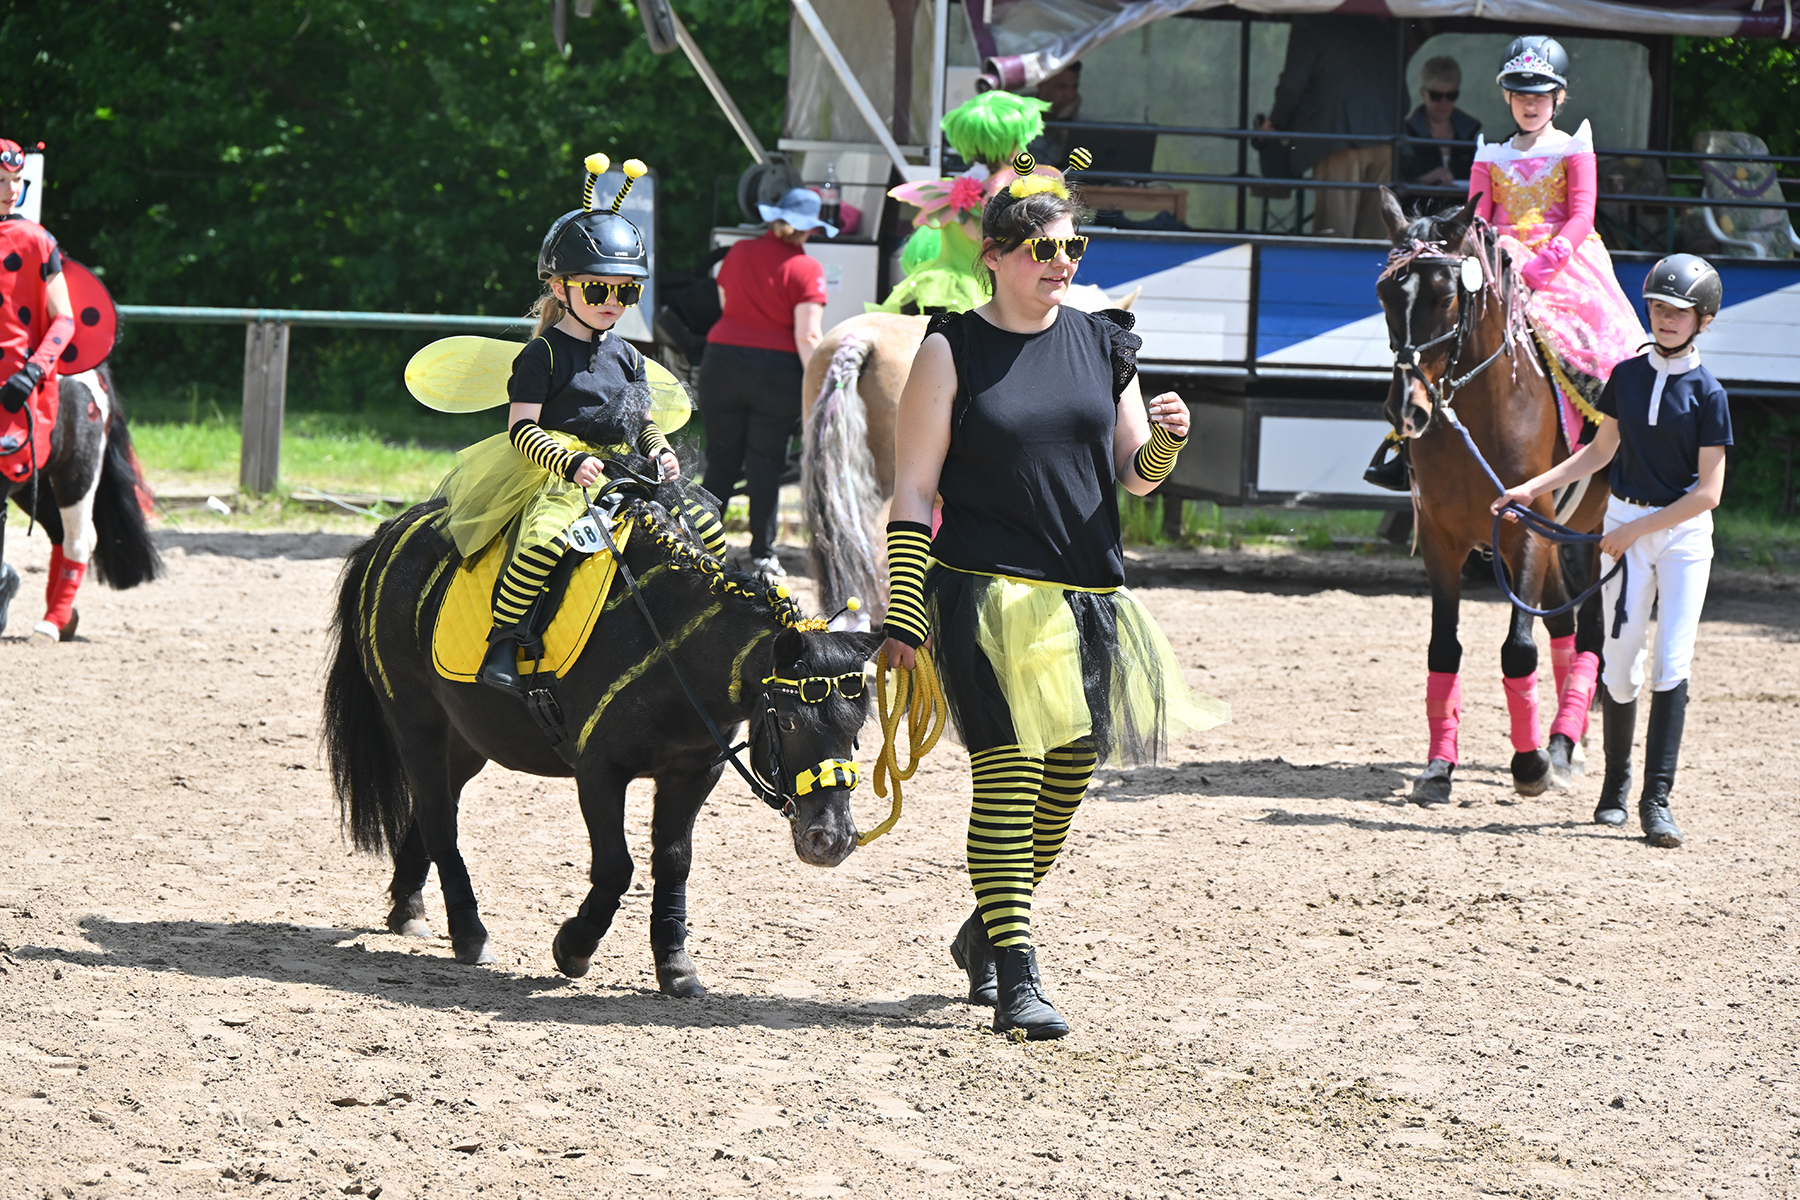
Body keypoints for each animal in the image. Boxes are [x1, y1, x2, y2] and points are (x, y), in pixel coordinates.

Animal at [0, 363, 163, 641]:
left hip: (76, 472)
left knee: (78, 541)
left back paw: (50, 624)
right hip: (31, 483)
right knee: (59, 534)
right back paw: (63, 618)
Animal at [322, 477, 883, 996]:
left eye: (857, 729)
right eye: (789, 722)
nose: (832, 840)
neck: (676, 650)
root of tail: (393, 531)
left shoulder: (695, 771)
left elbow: (674, 862)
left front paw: (675, 965)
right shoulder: (598, 771)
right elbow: (616, 867)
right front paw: (573, 947)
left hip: (466, 738)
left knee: (432, 807)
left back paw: (408, 906)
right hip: (415, 720)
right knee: (439, 818)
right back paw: (468, 931)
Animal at [1374, 189, 1609, 806]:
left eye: (1445, 295)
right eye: (1385, 295)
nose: (1405, 409)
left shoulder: (1525, 528)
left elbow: (1518, 648)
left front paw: (1529, 765)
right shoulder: (1440, 539)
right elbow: (1443, 649)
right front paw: (1438, 769)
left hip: (1589, 533)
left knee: (1588, 633)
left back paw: (1561, 749)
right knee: (1562, 624)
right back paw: (1564, 742)